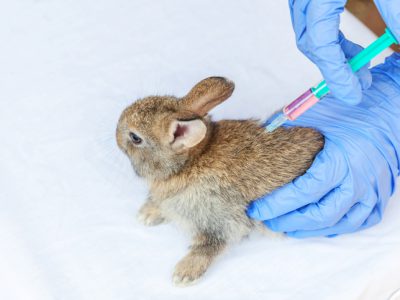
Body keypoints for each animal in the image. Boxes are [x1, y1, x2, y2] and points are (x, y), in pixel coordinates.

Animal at [115, 77, 324, 286]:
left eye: (135, 138)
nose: (116, 134)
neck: (189, 164)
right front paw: (147, 214)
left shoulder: (219, 217)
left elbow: (209, 245)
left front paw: (184, 273)